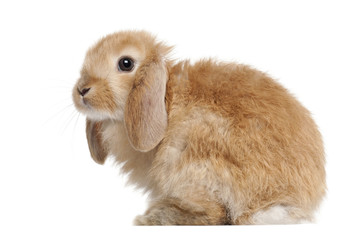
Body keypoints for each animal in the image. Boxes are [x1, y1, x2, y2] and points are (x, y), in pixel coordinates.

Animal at [72, 30, 328, 225]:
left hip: (191, 153)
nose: (82, 90)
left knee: (217, 214)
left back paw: (154, 217)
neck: (166, 98)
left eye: (126, 63)